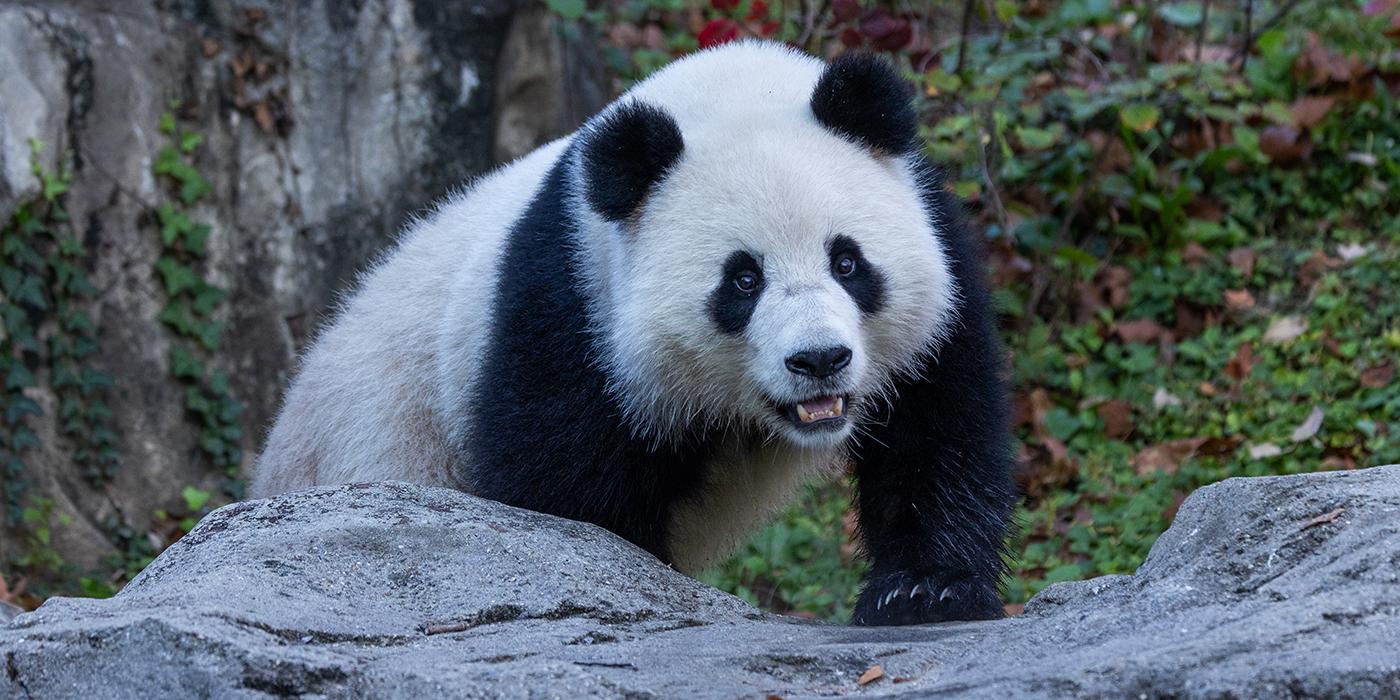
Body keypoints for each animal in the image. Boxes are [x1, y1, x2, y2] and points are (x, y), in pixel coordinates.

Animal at [252, 40, 1013, 627]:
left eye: (847, 262)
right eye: (743, 280)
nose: (819, 359)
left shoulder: (936, 251)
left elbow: (939, 426)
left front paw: (924, 591)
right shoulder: (570, 303)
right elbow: (565, 498)